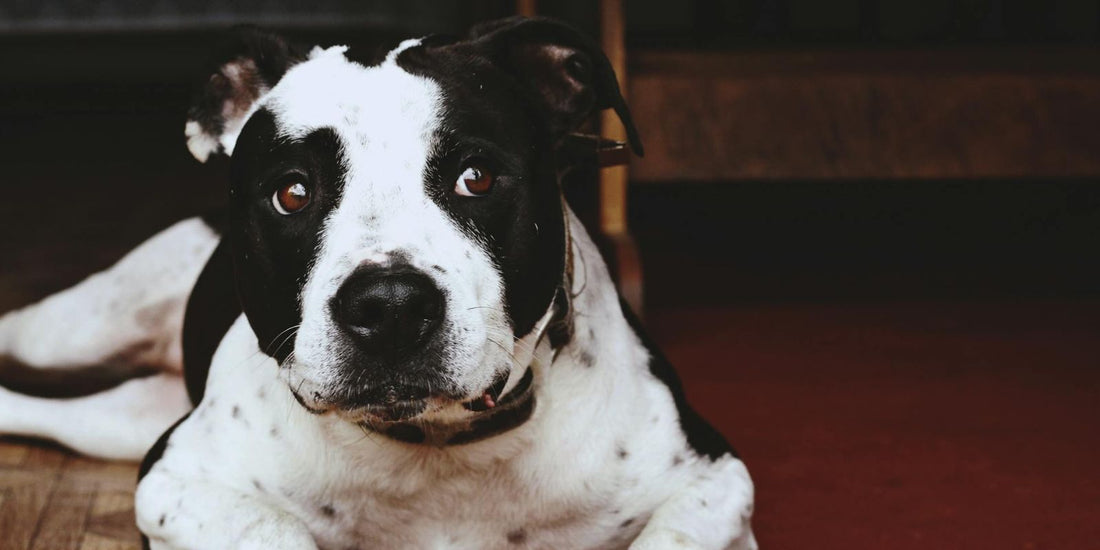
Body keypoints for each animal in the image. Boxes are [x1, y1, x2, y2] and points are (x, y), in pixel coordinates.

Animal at [0, 18, 756, 550]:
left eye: (476, 178)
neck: (439, 448)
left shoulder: (716, 483)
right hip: (74, 332)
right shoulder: (176, 480)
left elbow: (672, 534)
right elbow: (277, 528)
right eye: (292, 193)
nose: (389, 307)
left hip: (121, 420)